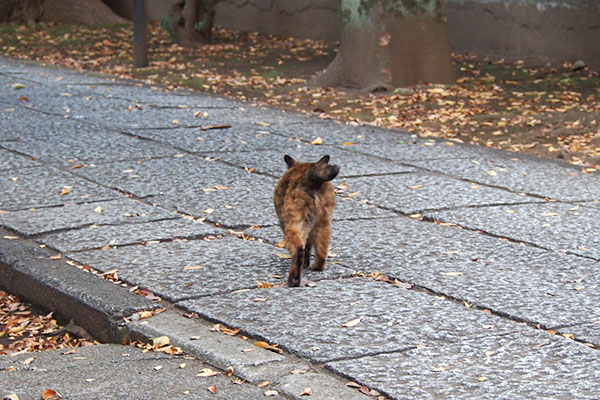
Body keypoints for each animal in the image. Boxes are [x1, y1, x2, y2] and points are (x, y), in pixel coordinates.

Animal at [274, 154, 340, 288]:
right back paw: (316, 267)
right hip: (323, 224)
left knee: (299, 249)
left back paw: (293, 280)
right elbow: (309, 246)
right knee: (321, 251)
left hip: (295, 224)